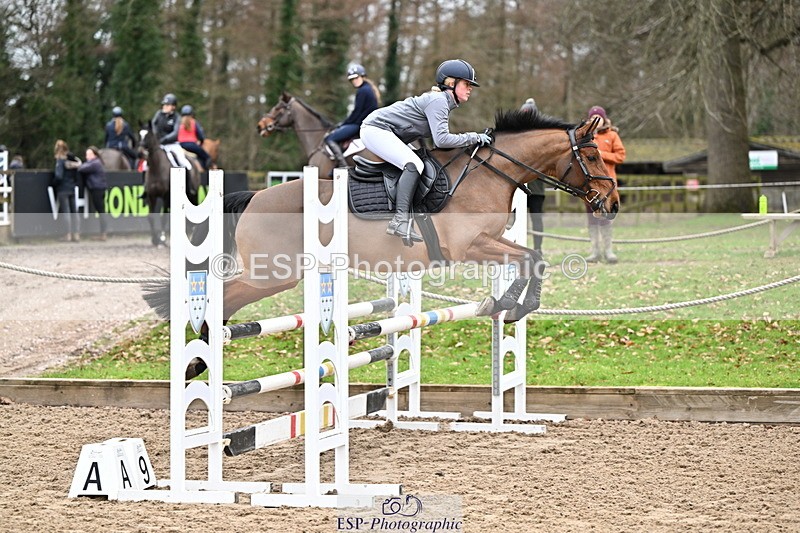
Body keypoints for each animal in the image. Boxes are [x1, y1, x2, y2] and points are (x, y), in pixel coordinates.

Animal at [146, 109, 619, 380]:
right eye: (593, 156)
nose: (612, 204)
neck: (489, 174)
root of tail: (255, 197)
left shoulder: (490, 241)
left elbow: (532, 258)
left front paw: (510, 304)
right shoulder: (470, 246)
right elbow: (530, 258)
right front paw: (510, 304)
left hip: (278, 274)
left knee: (225, 297)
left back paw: (198, 362)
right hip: (273, 273)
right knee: (220, 295)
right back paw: (199, 357)